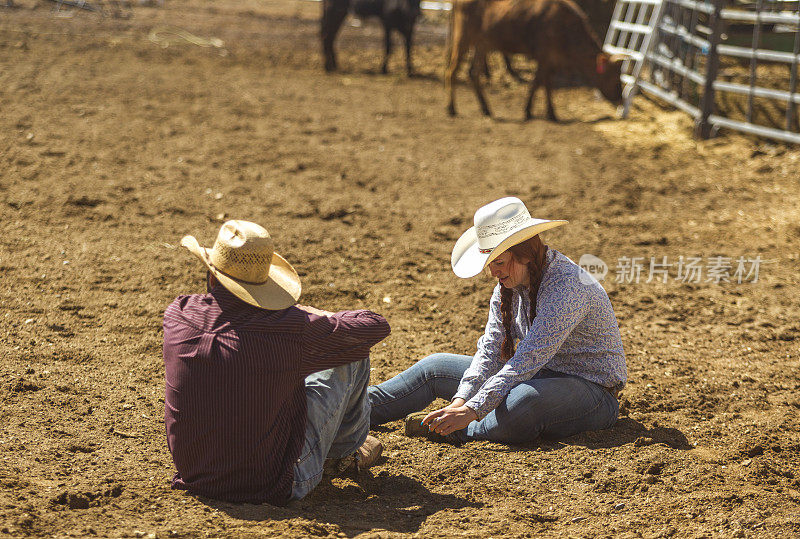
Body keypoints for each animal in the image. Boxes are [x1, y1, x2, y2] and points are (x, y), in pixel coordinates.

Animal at [446, 0, 628, 122]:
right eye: (612, 75)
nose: (620, 97)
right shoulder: (544, 57)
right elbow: (537, 83)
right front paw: (529, 111)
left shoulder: (551, 61)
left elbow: (546, 84)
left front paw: (550, 112)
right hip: (463, 38)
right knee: (452, 70)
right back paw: (451, 108)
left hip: (482, 44)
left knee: (474, 73)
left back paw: (486, 109)